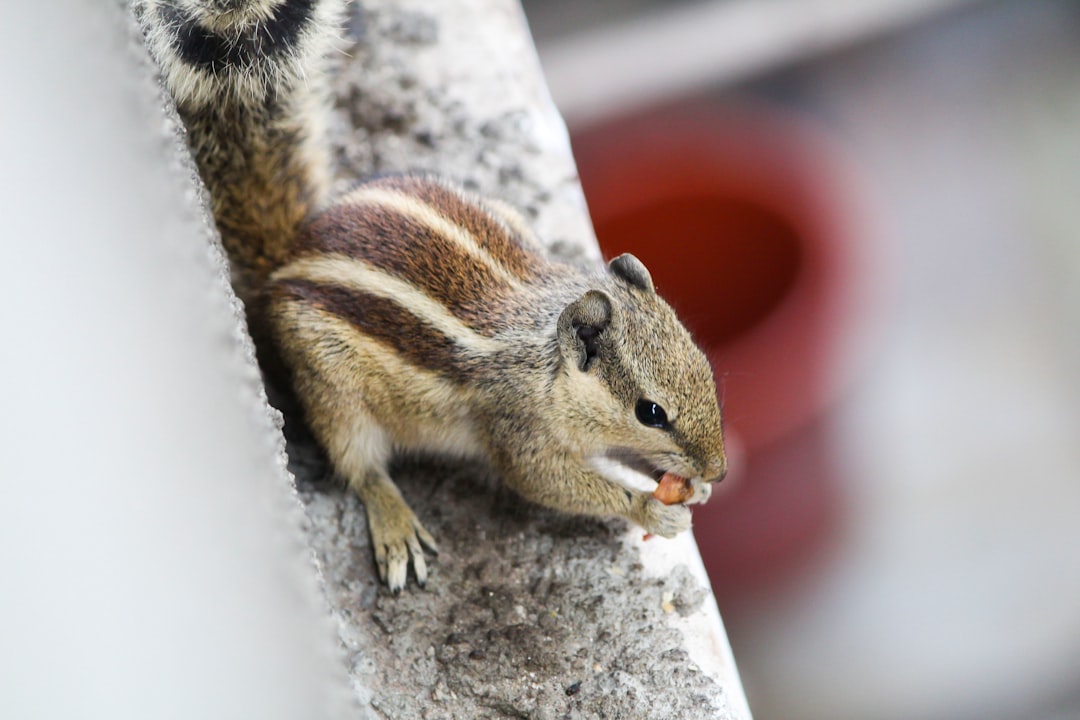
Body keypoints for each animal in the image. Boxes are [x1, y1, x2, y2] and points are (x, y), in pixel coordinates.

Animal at [137, 0, 725, 591]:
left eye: (704, 366)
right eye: (651, 412)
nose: (718, 470)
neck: (547, 362)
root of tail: (287, 258)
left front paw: (692, 487)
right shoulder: (518, 429)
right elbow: (545, 481)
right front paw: (651, 508)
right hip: (332, 387)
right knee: (359, 466)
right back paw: (395, 523)